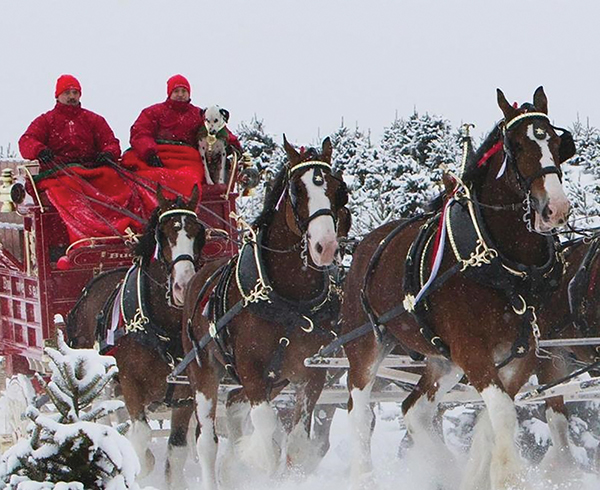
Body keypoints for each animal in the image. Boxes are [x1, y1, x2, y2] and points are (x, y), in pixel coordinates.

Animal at [183, 136, 352, 488]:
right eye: (296, 190)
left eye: (338, 189)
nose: (326, 247)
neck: (289, 300)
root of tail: (198, 277)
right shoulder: (251, 369)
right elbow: (267, 429)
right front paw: (260, 464)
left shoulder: (311, 372)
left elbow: (297, 442)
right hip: (202, 371)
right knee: (207, 441)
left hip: (276, 381)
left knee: (233, 405)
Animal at [340, 88, 568, 490]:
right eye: (517, 146)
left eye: (556, 143)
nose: (555, 209)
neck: (499, 263)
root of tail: (366, 245)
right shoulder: (471, 350)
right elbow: (503, 415)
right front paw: (509, 477)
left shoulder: (521, 354)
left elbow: (493, 421)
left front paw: (476, 474)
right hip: (365, 344)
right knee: (359, 411)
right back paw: (365, 476)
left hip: (442, 360)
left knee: (414, 411)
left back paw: (443, 468)